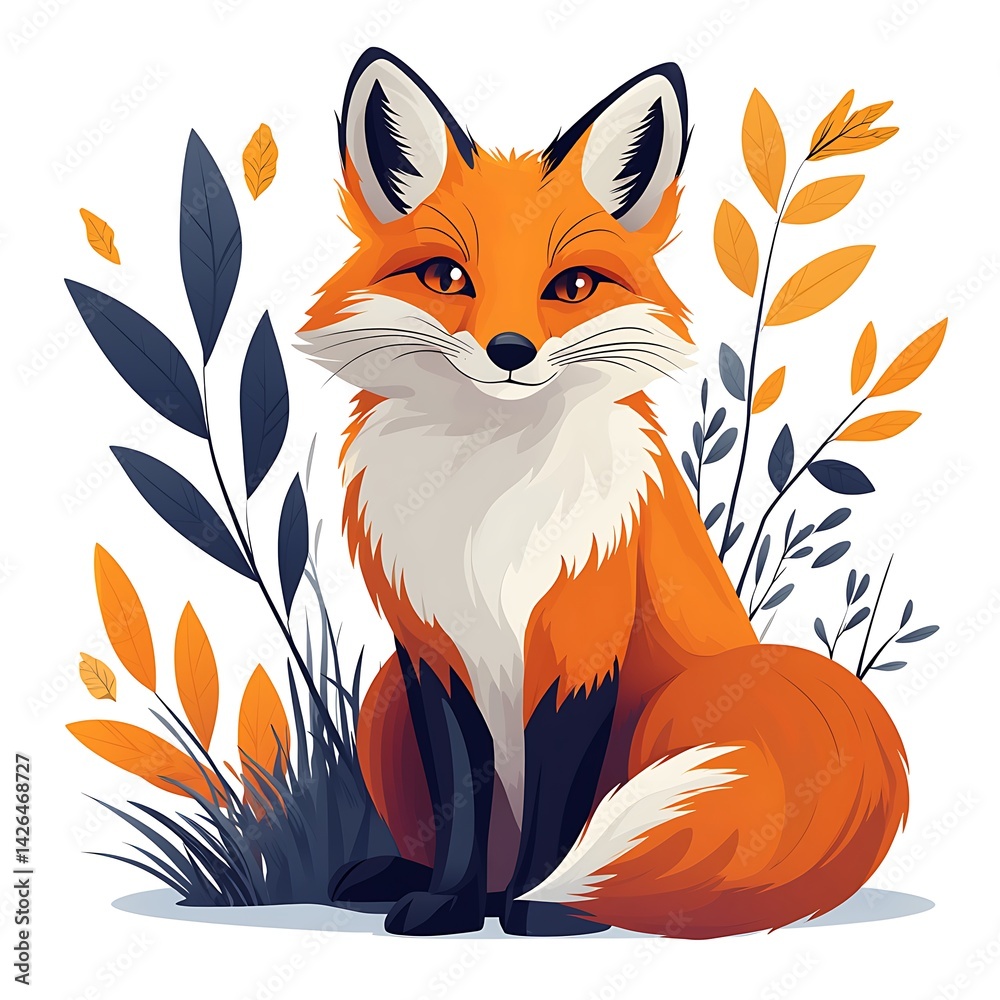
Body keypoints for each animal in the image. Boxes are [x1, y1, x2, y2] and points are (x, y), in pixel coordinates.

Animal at [297, 48, 908, 937]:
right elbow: (459, 805)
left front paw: (545, 910)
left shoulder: (582, 642)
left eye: (574, 286)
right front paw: (447, 905)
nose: (510, 350)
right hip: (381, 700)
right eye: (447, 276)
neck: (490, 501)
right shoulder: (430, 654)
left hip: (687, 703)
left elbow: (562, 805)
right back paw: (420, 882)